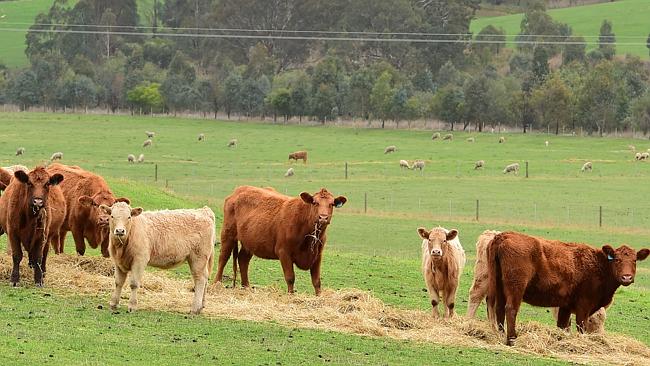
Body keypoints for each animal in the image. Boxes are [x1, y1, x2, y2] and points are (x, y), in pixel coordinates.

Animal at [213, 186, 346, 294]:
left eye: (332, 204)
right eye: (315, 202)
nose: (323, 217)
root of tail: (239, 190)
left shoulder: (317, 255)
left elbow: (316, 281)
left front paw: (319, 296)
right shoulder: (284, 252)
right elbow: (290, 277)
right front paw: (291, 295)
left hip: (249, 242)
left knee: (243, 259)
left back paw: (246, 287)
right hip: (228, 234)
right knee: (223, 258)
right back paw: (216, 283)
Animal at [484, 232, 644, 346]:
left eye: (634, 260)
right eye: (617, 259)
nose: (627, 277)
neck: (599, 264)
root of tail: (503, 236)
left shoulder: (566, 306)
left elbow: (562, 325)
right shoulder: (583, 306)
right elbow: (581, 326)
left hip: (499, 286)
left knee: (499, 308)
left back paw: (500, 335)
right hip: (515, 288)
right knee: (511, 309)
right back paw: (511, 339)